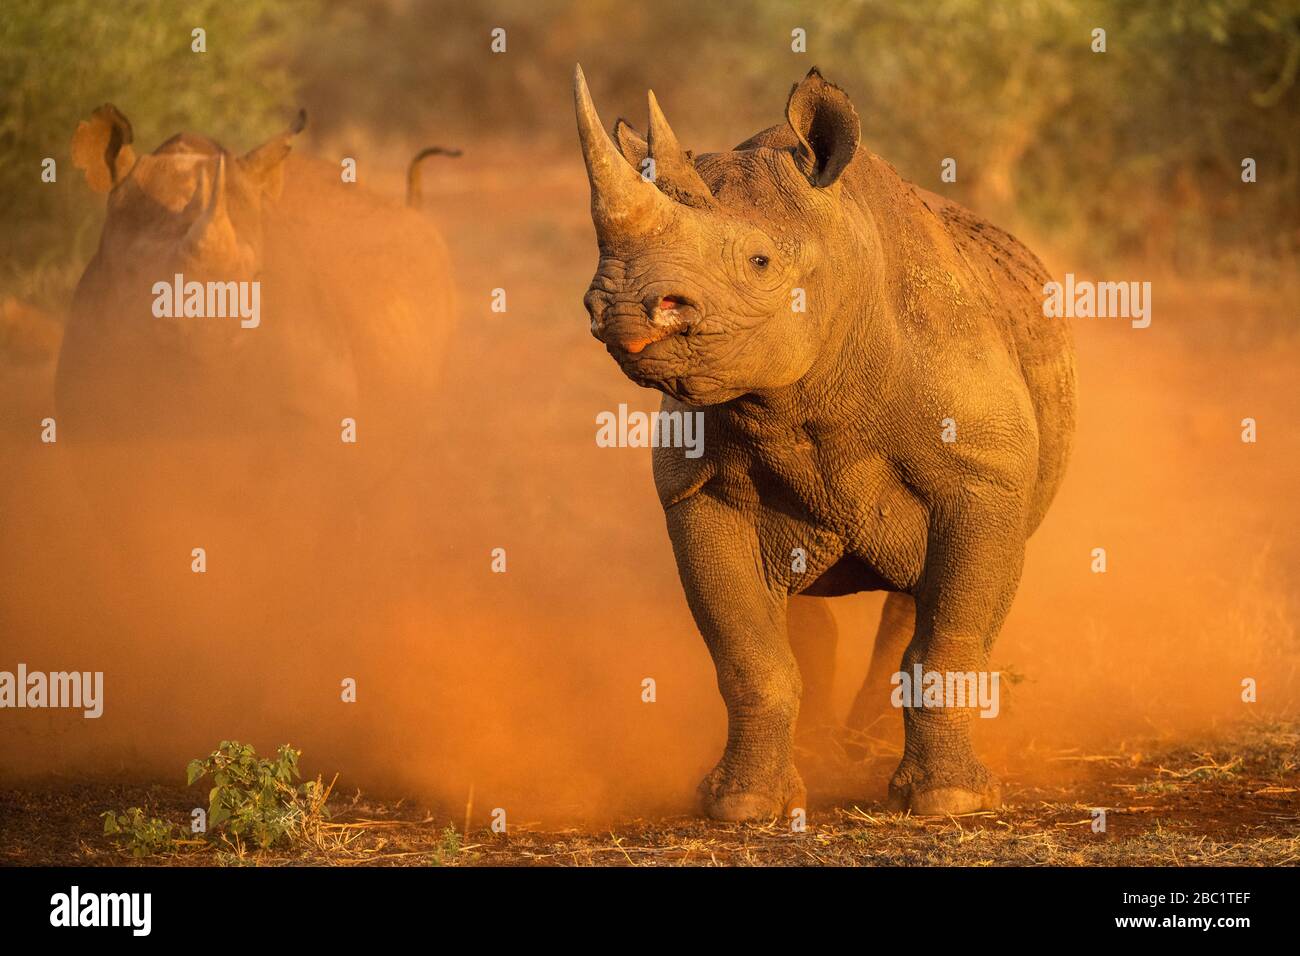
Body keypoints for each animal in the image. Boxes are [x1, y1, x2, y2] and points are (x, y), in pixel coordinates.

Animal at [572, 67, 1076, 816]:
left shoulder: (984, 480)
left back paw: (868, 755)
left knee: (911, 608)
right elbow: (749, 658)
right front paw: (743, 806)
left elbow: (948, 643)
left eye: (759, 261)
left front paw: (951, 801)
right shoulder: (699, 491)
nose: (622, 309)